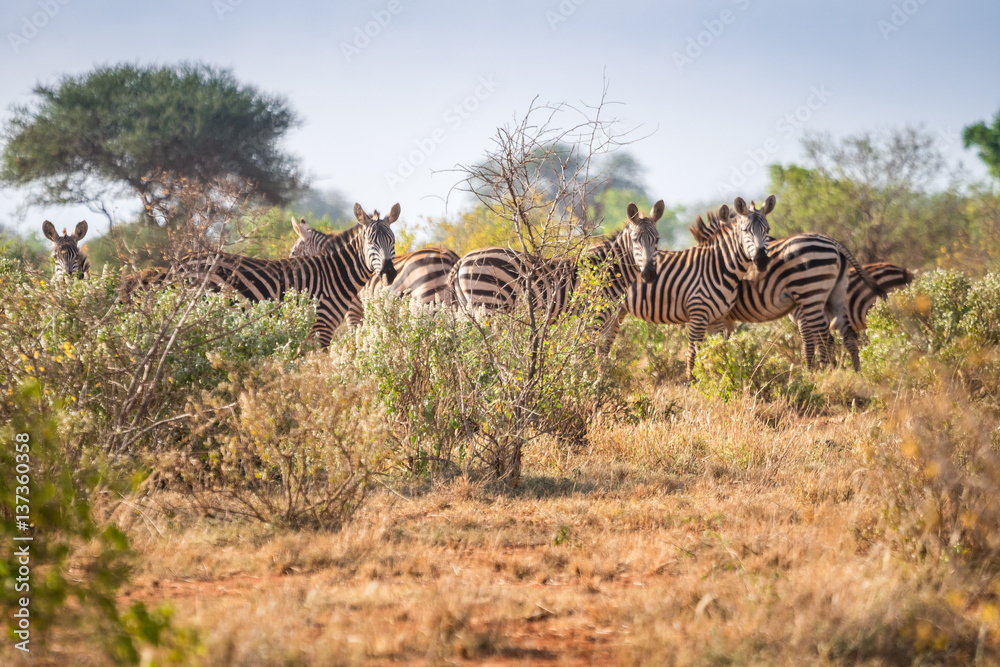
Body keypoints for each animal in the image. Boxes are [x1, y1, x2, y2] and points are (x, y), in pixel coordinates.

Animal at [156, 203, 397, 346]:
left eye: (392, 241)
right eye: (370, 242)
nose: (388, 273)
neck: (333, 273)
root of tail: (178, 265)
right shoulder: (322, 326)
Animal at [449, 201, 663, 352]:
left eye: (657, 240)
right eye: (635, 240)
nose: (649, 274)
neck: (608, 272)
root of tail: (462, 260)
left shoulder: (608, 321)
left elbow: (602, 357)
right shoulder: (593, 319)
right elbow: (586, 357)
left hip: (469, 310)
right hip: (489, 306)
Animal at [612, 196, 774, 379]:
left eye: (767, 229)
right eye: (746, 230)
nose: (762, 260)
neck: (717, 266)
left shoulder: (718, 319)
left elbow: (719, 352)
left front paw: (718, 380)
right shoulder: (698, 315)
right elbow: (693, 354)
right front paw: (691, 383)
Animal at [688, 207, 888, 371]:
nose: (762, 260)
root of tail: (834, 242)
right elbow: (723, 343)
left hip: (810, 298)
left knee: (820, 339)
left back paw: (819, 374)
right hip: (833, 296)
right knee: (846, 335)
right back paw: (854, 373)